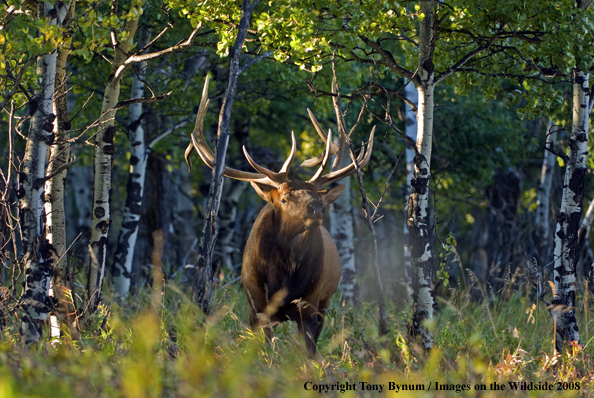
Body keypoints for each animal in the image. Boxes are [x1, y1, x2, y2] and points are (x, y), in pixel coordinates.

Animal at [185, 76, 372, 356]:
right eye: (283, 198)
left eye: (317, 196)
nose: (317, 208)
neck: (282, 277)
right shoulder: (256, 306)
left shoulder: (310, 306)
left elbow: (308, 354)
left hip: (325, 302)